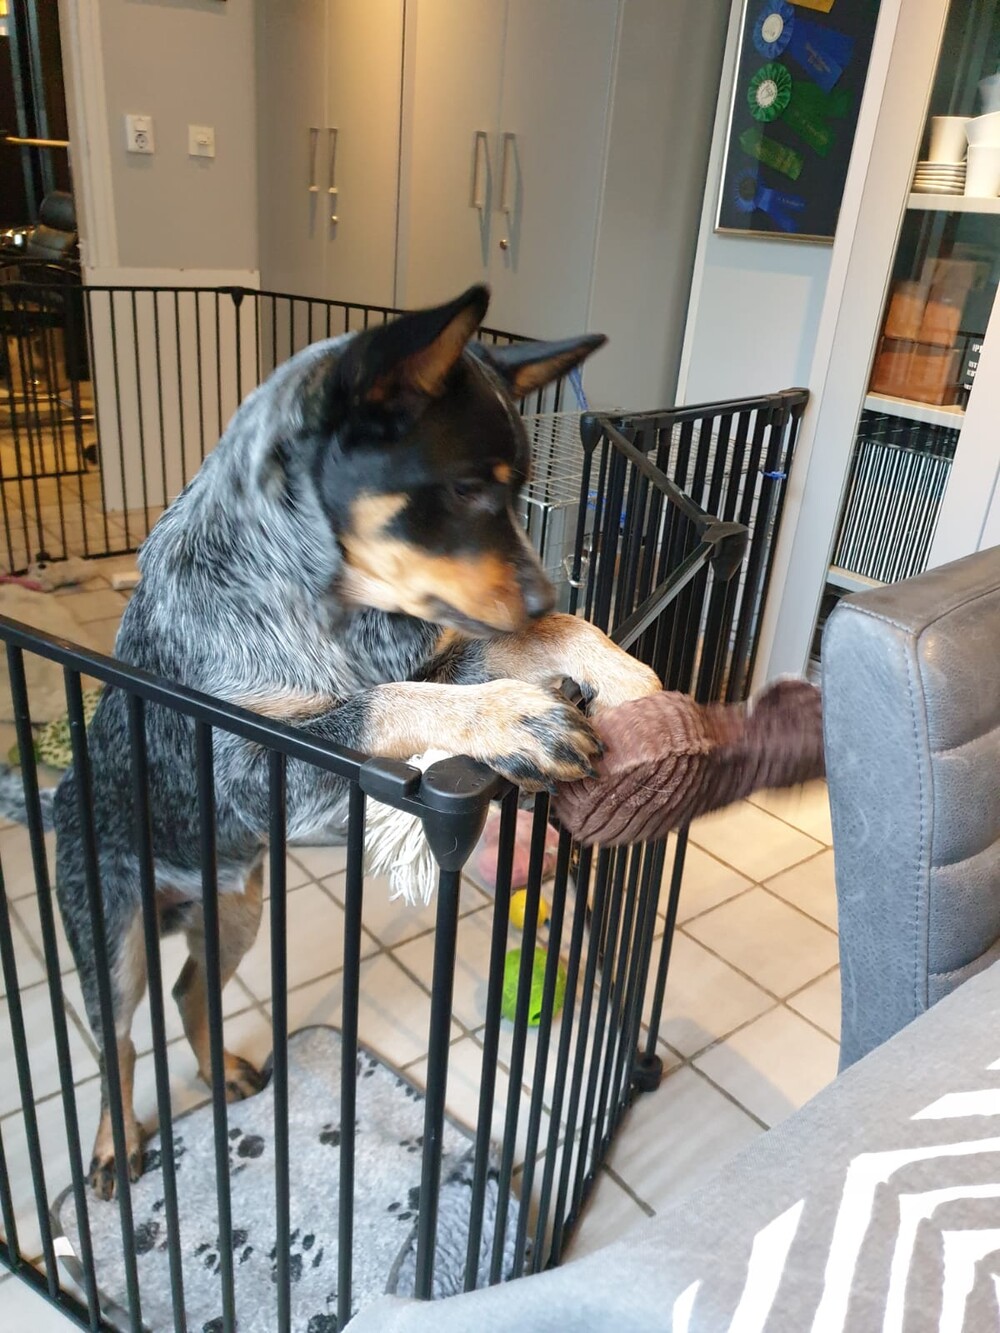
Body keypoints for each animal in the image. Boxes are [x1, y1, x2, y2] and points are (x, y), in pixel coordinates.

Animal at [53, 284, 660, 1198]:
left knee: (192, 987)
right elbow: (383, 700)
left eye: (518, 490)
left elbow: (523, 643)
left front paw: (625, 672)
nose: (544, 588)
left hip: (236, 909)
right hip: (109, 929)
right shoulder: (252, 759)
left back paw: (221, 1071)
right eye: (464, 487)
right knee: (116, 1038)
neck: (313, 598)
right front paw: (513, 717)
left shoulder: (441, 645)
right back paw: (113, 1144)